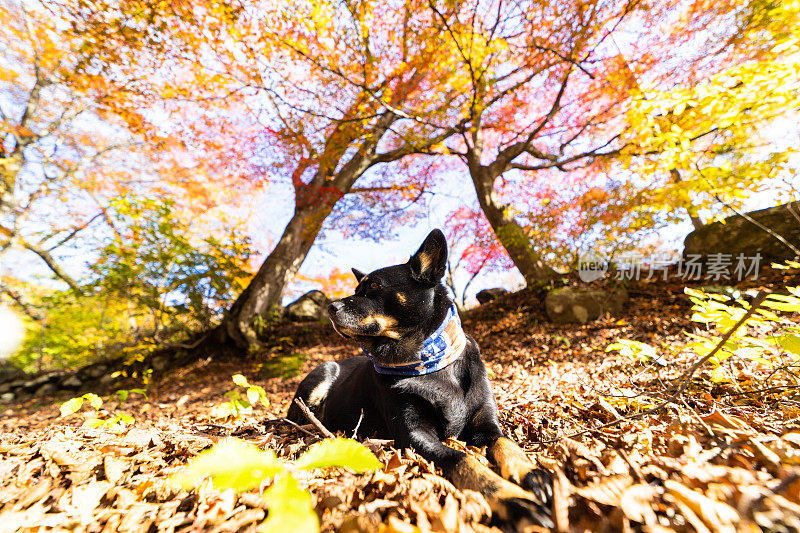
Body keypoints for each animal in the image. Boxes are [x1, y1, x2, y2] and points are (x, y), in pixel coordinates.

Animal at [290, 230, 556, 528]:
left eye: (374, 286)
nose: (329, 306)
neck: (427, 359)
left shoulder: (485, 425)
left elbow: (506, 443)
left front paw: (531, 473)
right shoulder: (414, 434)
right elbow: (462, 459)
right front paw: (512, 499)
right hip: (322, 372)